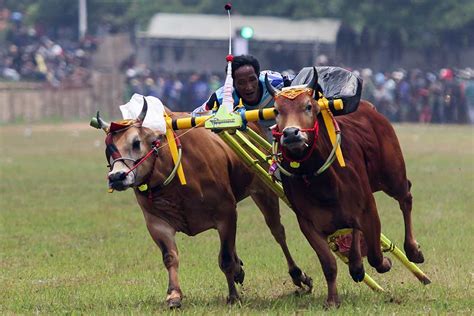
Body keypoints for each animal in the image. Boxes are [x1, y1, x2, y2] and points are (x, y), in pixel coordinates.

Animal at [94, 100, 312, 308]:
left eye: (136, 142)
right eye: (108, 148)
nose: (117, 177)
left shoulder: (226, 213)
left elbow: (225, 258)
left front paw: (233, 296)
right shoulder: (156, 222)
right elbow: (170, 257)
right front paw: (174, 295)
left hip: (263, 190)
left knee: (278, 232)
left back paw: (298, 275)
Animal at [266, 68, 426, 306]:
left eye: (308, 106)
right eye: (276, 110)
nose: (291, 133)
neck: (322, 182)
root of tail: (371, 108)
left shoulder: (369, 209)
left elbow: (376, 256)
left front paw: (386, 262)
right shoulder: (307, 222)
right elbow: (329, 264)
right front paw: (332, 299)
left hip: (392, 175)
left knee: (405, 197)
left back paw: (413, 250)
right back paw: (356, 265)